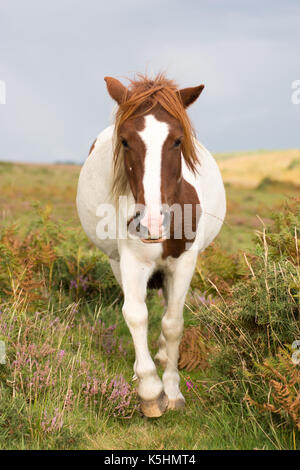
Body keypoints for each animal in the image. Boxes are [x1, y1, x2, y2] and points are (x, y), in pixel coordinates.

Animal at [76, 71, 226, 416]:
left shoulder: (184, 262)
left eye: (177, 140)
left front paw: (171, 390)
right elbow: (135, 314)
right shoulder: (131, 261)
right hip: (116, 262)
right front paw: (148, 389)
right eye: (125, 141)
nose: (151, 223)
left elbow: (173, 323)